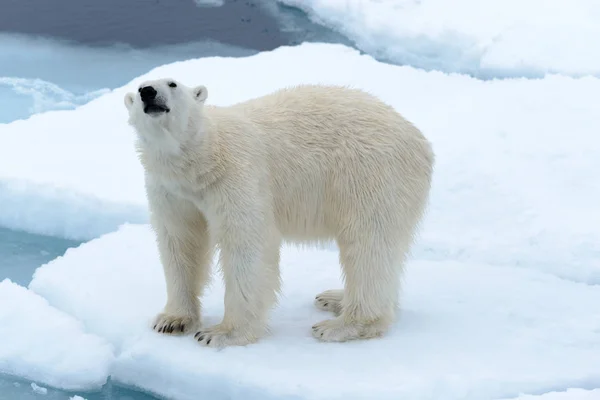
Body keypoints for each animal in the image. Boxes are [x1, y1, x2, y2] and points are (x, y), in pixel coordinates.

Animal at [124, 79, 434, 346]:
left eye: (172, 83)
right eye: (138, 88)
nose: (148, 92)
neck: (202, 158)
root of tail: (420, 140)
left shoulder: (237, 175)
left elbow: (247, 245)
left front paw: (220, 333)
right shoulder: (171, 191)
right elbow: (180, 243)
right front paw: (172, 320)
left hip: (371, 174)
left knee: (368, 245)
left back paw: (341, 325)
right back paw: (334, 298)